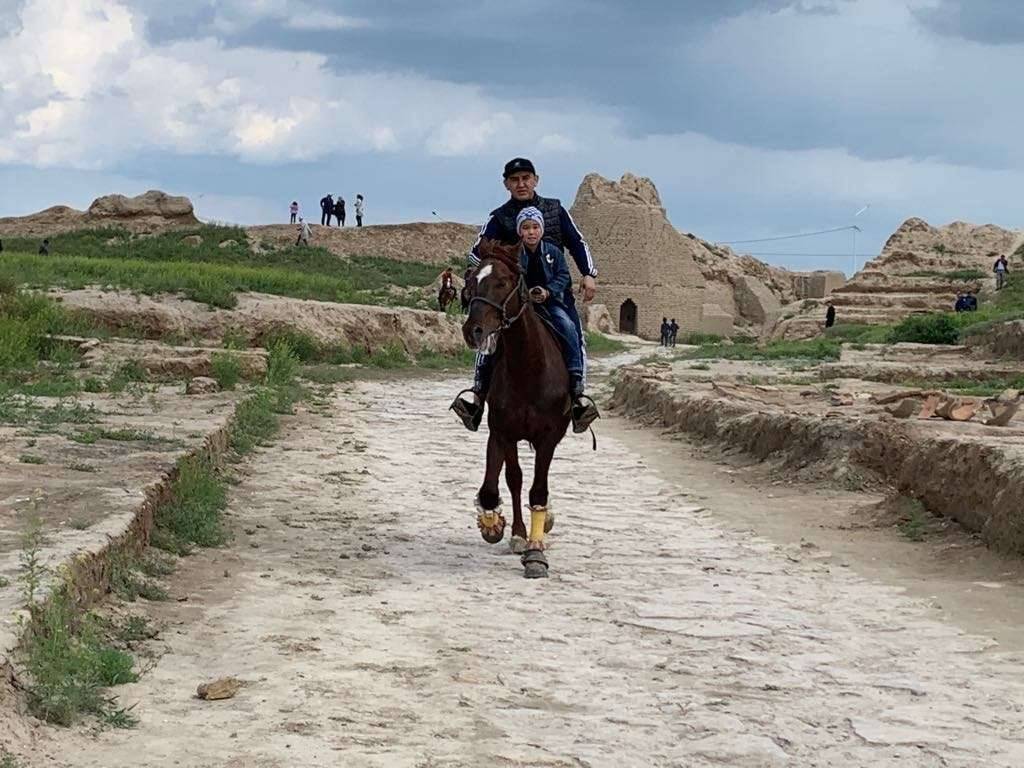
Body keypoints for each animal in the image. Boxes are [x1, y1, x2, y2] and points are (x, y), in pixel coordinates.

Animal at [462, 239, 569, 577]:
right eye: (471, 281)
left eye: (503, 282)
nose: (473, 331)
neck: (529, 369)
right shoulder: (505, 432)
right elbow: (512, 480)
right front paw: (510, 531)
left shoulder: (548, 438)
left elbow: (538, 489)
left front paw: (535, 551)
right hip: (496, 430)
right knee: (495, 474)